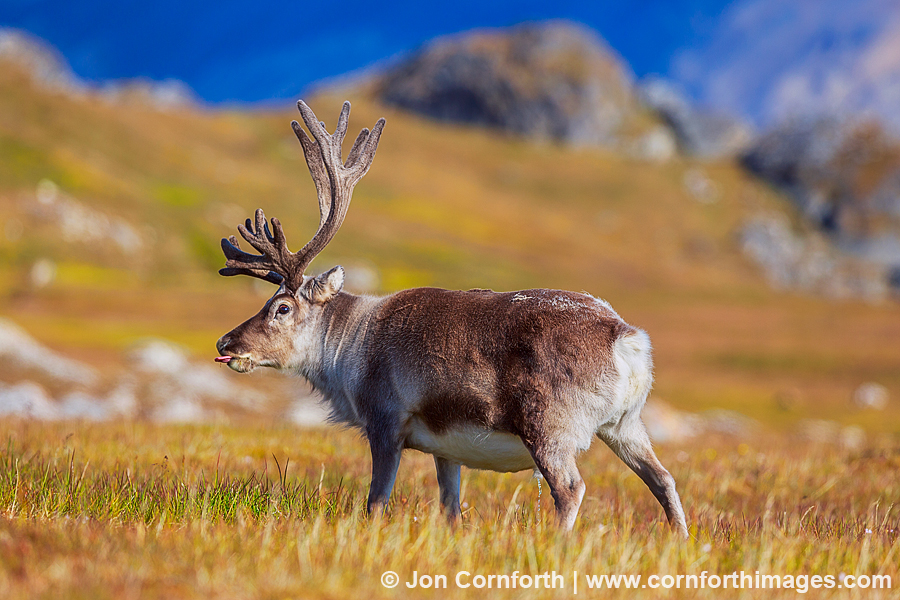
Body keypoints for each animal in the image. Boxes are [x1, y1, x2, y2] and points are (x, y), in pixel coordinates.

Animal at [214, 100, 689, 537]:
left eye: (282, 307)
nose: (225, 344)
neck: (350, 346)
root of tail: (624, 337)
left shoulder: (386, 422)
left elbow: (376, 500)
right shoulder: (446, 449)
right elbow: (450, 507)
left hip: (549, 427)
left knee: (571, 488)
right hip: (624, 424)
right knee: (663, 479)